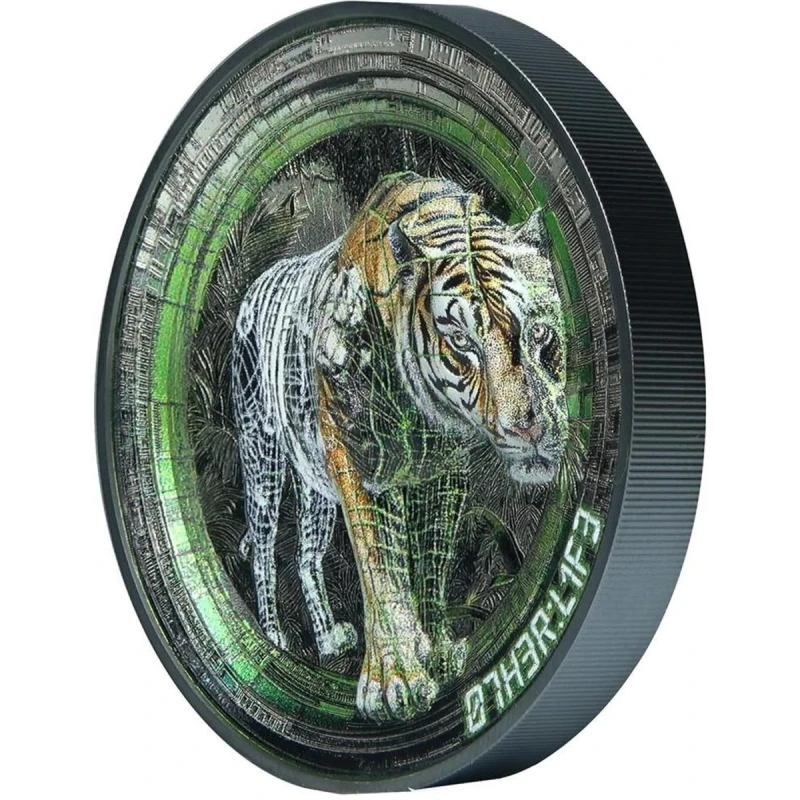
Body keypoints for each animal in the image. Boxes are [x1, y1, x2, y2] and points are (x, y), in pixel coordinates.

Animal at [231, 171, 567, 722]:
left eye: (538, 333)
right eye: (463, 342)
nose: (528, 429)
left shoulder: (446, 470)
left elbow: (432, 558)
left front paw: (438, 650)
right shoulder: (361, 459)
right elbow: (381, 568)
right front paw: (395, 681)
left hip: (315, 487)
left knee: (306, 554)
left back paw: (328, 637)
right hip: (263, 457)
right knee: (262, 550)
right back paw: (276, 636)